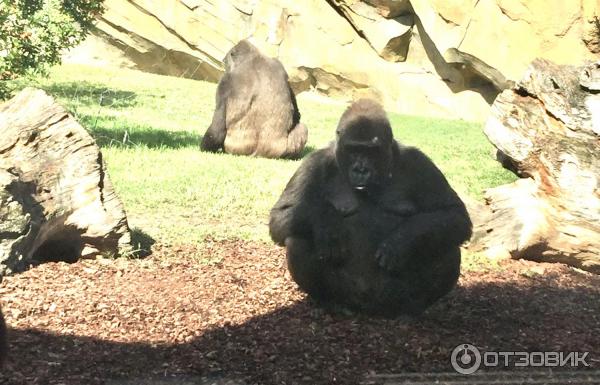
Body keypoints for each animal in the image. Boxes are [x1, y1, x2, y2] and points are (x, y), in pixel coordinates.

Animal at [270, 98, 474, 316]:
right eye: (353, 150)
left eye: (371, 152)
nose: (361, 170)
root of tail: (368, 309)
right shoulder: (314, 163)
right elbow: (282, 214)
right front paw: (328, 225)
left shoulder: (419, 162)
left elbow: (454, 214)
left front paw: (402, 241)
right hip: (348, 293)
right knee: (298, 238)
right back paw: (331, 302)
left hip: (391, 297)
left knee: (447, 245)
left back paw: (412, 309)